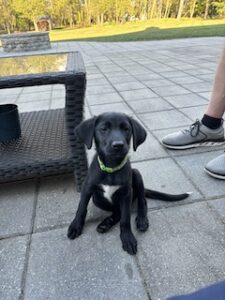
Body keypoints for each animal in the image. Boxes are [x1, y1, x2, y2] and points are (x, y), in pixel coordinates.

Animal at [67, 112, 190, 255]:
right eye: (104, 129)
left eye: (126, 129)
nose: (118, 145)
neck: (111, 168)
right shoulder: (87, 188)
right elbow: (81, 208)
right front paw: (75, 226)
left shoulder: (126, 194)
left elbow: (125, 219)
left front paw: (127, 238)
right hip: (97, 200)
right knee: (117, 212)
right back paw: (106, 223)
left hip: (136, 175)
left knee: (142, 202)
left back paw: (141, 220)